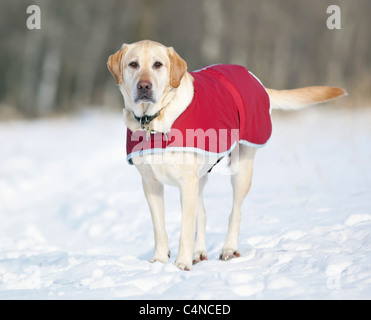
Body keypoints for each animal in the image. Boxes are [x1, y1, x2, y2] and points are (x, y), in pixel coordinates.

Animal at [107, 40, 346, 270]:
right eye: (133, 64)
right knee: (203, 214)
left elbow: (185, 230)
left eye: (158, 65)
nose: (144, 86)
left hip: (242, 170)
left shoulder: (187, 182)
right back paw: (199, 253)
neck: (155, 120)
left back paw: (228, 249)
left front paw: (181, 264)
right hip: (201, 176)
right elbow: (160, 227)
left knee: (235, 212)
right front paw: (158, 260)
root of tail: (252, 77)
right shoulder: (151, 183)